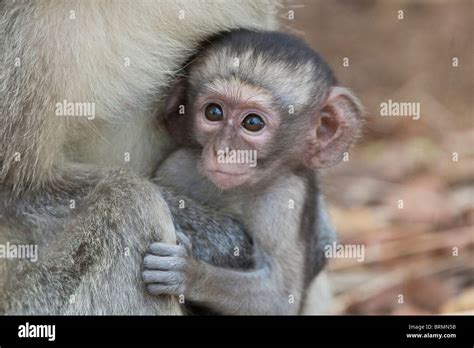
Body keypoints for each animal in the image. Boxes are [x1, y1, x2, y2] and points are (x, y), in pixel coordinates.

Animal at [0, 0, 328, 316]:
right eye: (214, 113)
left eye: (252, 123)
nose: (225, 151)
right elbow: (19, 190)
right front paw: (225, 241)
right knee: (130, 199)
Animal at [142, 28, 362, 314]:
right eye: (214, 112)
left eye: (253, 123)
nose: (223, 150)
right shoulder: (178, 165)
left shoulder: (285, 196)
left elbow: (279, 299)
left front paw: (190, 274)